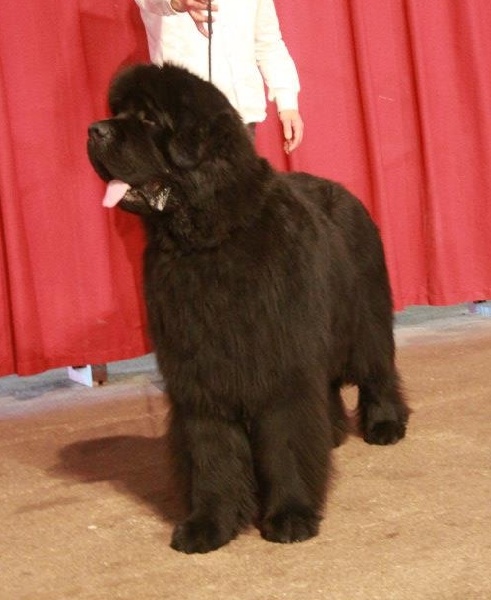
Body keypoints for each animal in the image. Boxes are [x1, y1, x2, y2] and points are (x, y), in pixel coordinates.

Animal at [87, 63, 409, 554]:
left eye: (147, 118)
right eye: (118, 112)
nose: (94, 130)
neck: (209, 242)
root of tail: (345, 192)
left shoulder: (279, 363)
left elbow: (285, 441)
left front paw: (290, 516)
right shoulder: (199, 376)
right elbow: (212, 454)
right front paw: (208, 525)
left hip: (363, 319)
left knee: (376, 369)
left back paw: (386, 423)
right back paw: (333, 433)